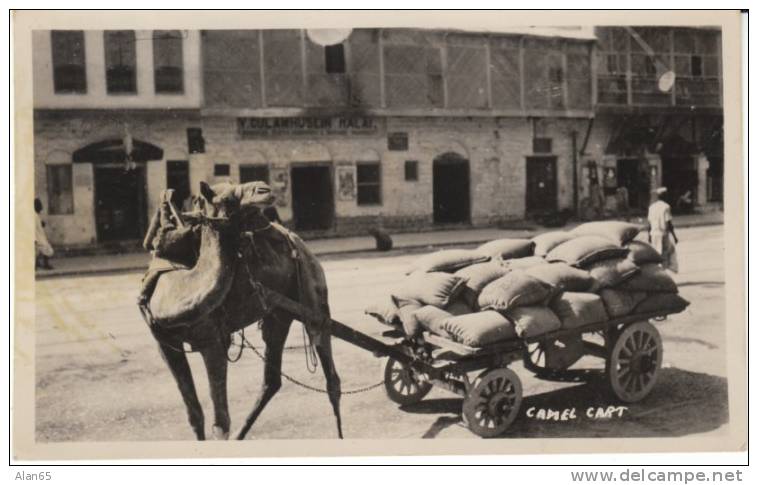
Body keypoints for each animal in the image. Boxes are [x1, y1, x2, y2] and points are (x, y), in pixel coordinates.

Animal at [140, 181, 344, 438]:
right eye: (227, 199)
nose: (265, 189)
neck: (180, 287)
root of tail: (300, 243)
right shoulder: (165, 343)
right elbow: (195, 415)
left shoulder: (212, 342)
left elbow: (221, 422)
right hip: (278, 314)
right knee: (271, 380)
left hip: (313, 296)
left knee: (331, 377)